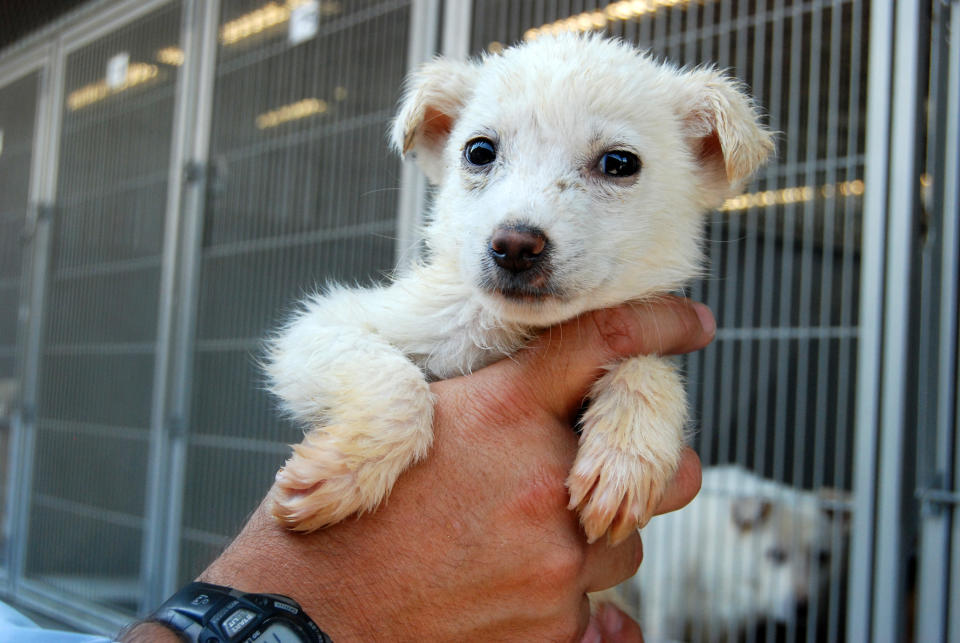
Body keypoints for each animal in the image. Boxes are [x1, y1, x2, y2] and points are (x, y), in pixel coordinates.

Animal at [262, 35, 772, 544]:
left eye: (620, 163)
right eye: (479, 151)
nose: (515, 246)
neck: (512, 329)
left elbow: (650, 368)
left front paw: (625, 455)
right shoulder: (323, 325)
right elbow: (397, 384)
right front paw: (342, 470)